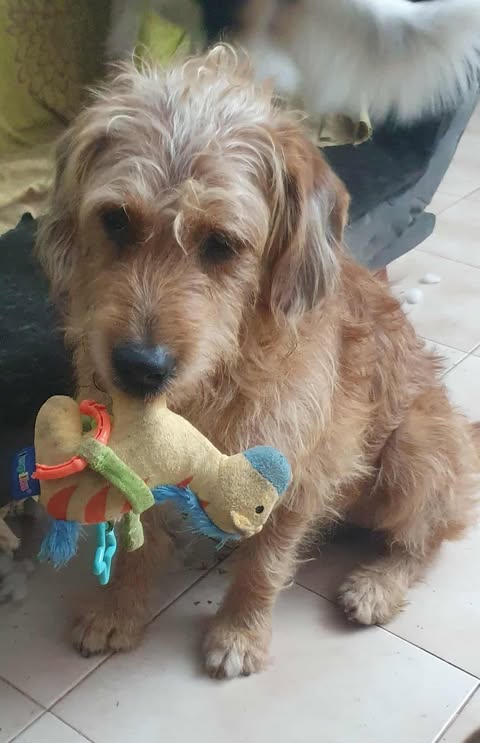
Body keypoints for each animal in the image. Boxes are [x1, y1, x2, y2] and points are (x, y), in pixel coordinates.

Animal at [35, 45, 479, 677]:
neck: (216, 382)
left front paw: (240, 633)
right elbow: (136, 545)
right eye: (116, 219)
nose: (140, 367)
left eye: (221, 244)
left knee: (429, 538)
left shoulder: (299, 469)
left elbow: (266, 566)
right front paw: (118, 611)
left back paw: (378, 583)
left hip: (414, 452)